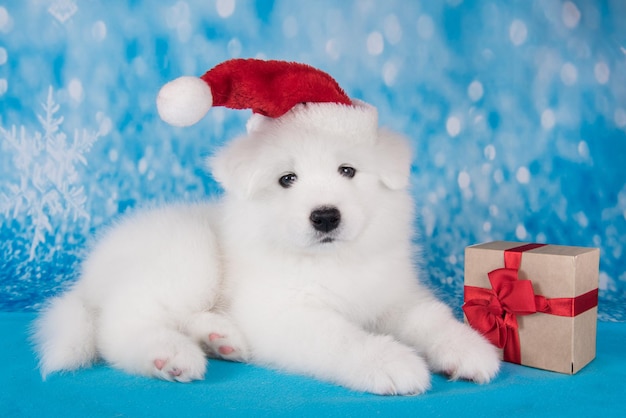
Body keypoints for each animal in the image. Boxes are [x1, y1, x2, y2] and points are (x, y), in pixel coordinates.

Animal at [31, 101, 500, 396]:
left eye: (347, 171)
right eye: (286, 180)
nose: (325, 216)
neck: (331, 261)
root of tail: (89, 273)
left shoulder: (395, 295)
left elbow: (430, 318)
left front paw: (469, 348)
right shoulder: (286, 312)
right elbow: (341, 337)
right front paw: (390, 362)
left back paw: (221, 339)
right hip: (188, 255)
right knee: (121, 323)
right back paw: (171, 355)